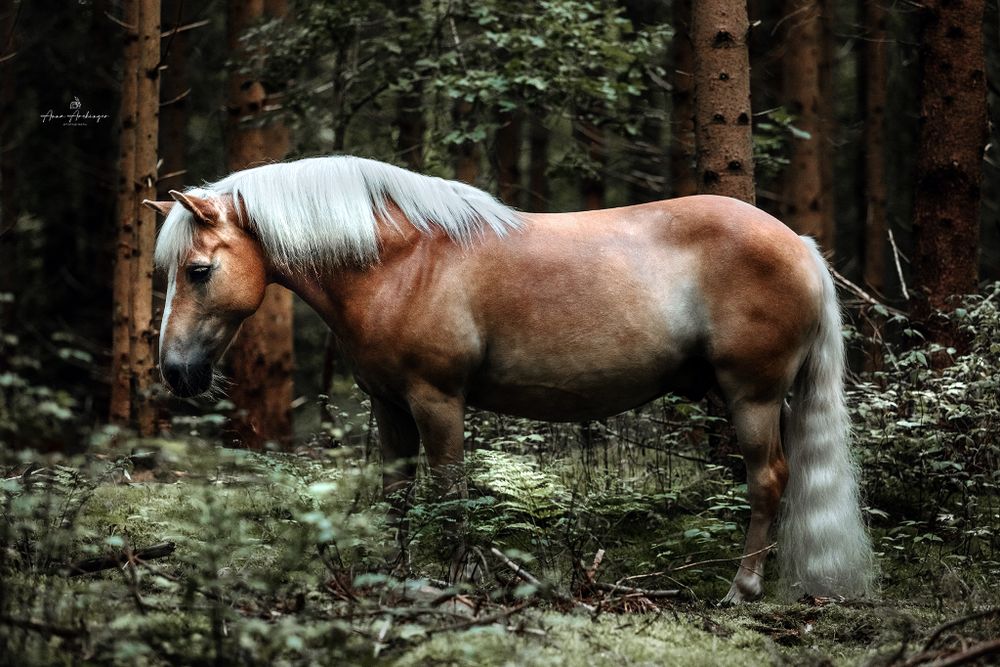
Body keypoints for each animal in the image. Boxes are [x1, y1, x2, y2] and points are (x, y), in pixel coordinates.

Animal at [145, 155, 874, 603]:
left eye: (199, 271)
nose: (176, 372)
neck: (403, 261)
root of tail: (798, 243)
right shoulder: (389, 405)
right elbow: (397, 496)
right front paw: (396, 579)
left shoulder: (437, 401)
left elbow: (450, 492)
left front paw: (453, 582)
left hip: (752, 396)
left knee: (768, 480)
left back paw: (740, 591)